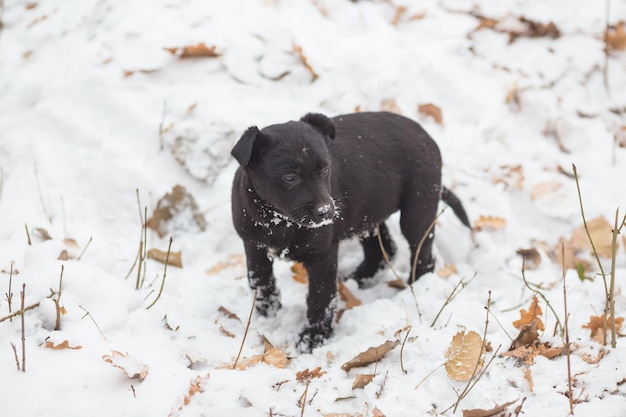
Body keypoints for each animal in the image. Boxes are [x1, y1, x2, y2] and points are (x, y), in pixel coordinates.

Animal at [230, 110, 468, 352]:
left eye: (325, 170)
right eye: (290, 177)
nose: (326, 212)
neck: (280, 221)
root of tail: (425, 134)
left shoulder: (322, 254)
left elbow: (321, 297)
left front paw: (314, 338)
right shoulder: (254, 246)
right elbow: (261, 282)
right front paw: (268, 315)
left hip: (417, 209)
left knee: (422, 256)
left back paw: (415, 289)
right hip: (367, 213)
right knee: (383, 250)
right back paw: (355, 280)